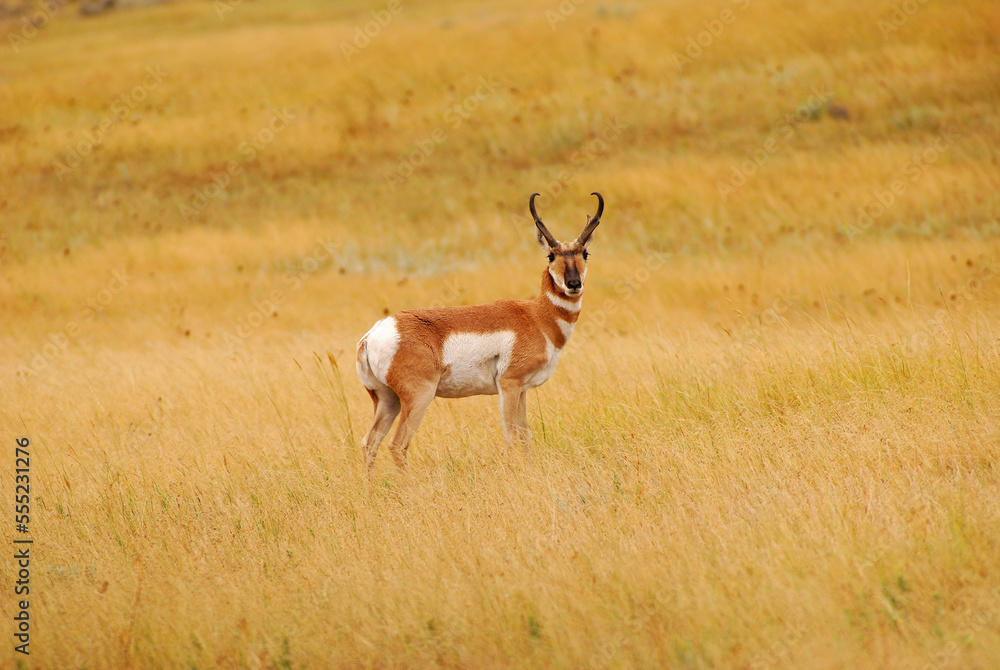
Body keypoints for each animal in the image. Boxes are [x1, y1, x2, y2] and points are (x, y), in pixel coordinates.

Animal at [355, 192, 604, 470]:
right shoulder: (509, 385)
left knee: (369, 443)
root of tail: (374, 335)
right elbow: (511, 436)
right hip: (418, 398)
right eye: (551, 256)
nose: (573, 284)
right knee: (397, 445)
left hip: (387, 401)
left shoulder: (522, 390)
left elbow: (526, 435)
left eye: (585, 253)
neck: (536, 317)